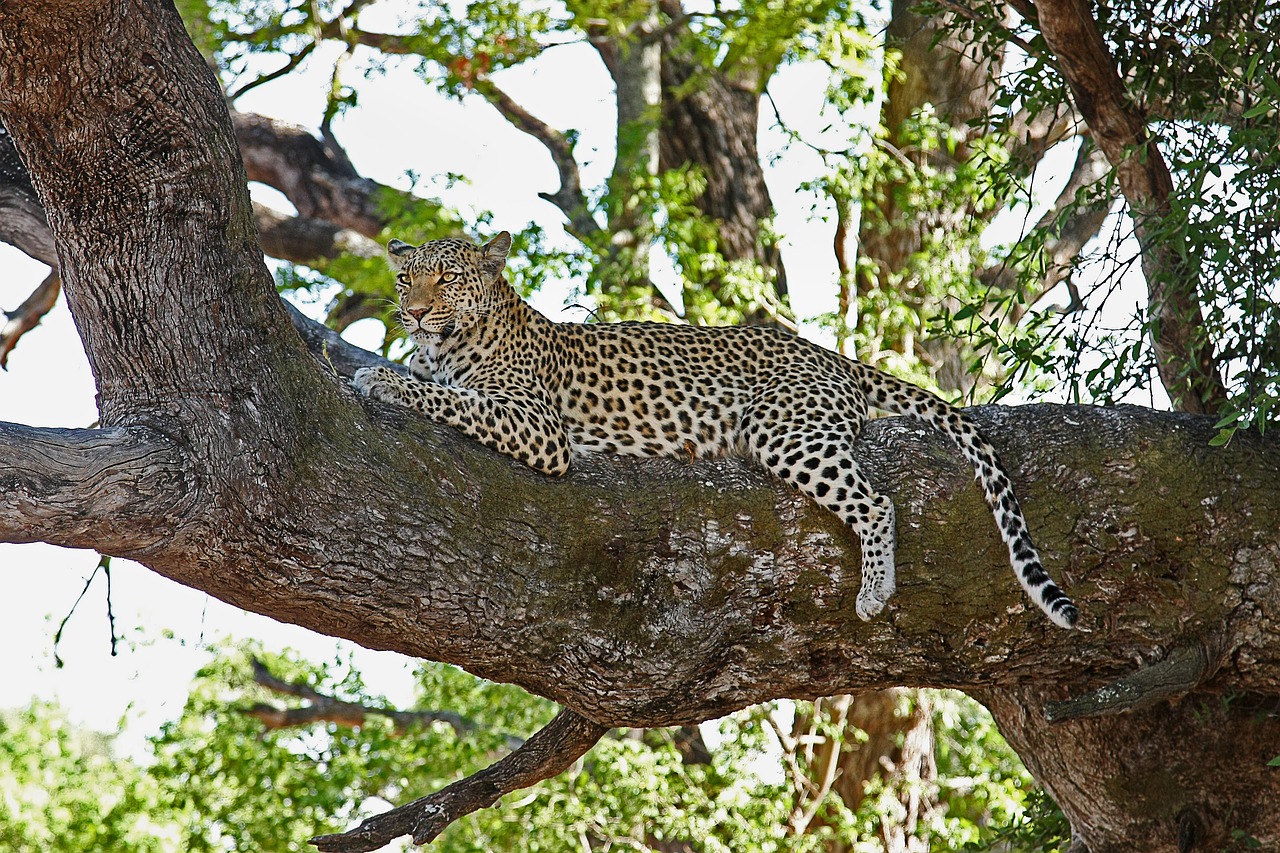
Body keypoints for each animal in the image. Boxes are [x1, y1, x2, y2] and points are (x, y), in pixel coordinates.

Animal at [353, 229, 1080, 627]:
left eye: (447, 278)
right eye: (404, 279)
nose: (412, 312)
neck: (446, 345)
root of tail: (828, 353)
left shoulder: (540, 427)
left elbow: (453, 399)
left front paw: (383, 380)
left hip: (784, 430)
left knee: (876, 502)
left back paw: (876, 590)